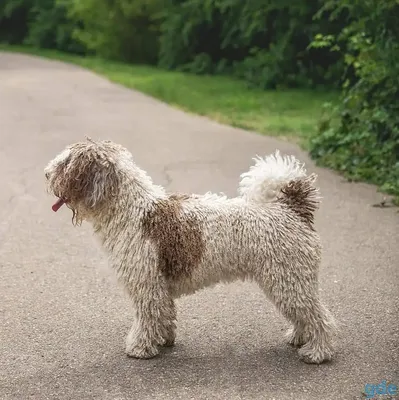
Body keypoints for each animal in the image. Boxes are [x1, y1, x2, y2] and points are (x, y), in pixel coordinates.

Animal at [45, 139, 336, 364]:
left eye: (66, 164)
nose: (46, 173)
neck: (132, 211)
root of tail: (292, 208)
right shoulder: (158, 287)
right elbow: (164, 315)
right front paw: (163, 340)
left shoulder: (147, 284)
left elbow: (147, 318)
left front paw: (140, 348)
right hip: (288, 280)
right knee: (305, 314)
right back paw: (298, 338)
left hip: (289, 279)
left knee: (320, 318)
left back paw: (317, 352)